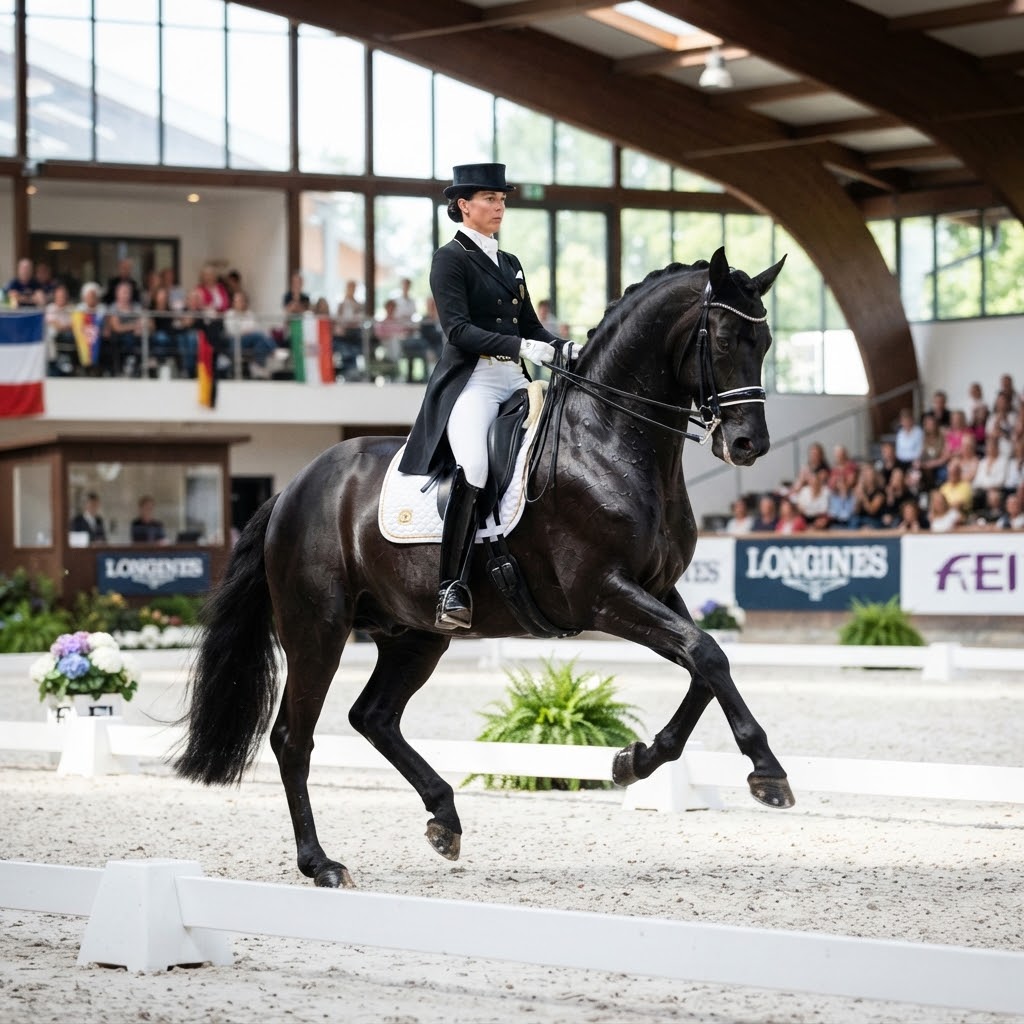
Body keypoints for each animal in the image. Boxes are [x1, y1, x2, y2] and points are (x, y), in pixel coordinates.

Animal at [175, 246, 793, 889]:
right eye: (723, 340)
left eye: (767, 341)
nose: (748, 445)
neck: (606, 441)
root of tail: (294, 487)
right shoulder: (604, 594)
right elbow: (706, 655)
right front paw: (767, 772)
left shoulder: (658, 590)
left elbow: (704, 664)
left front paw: (633, 760)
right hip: (316, 629)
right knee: (294, 739)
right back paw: (322, 863)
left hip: (414, 634)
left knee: (373, 716)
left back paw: (443, 817)